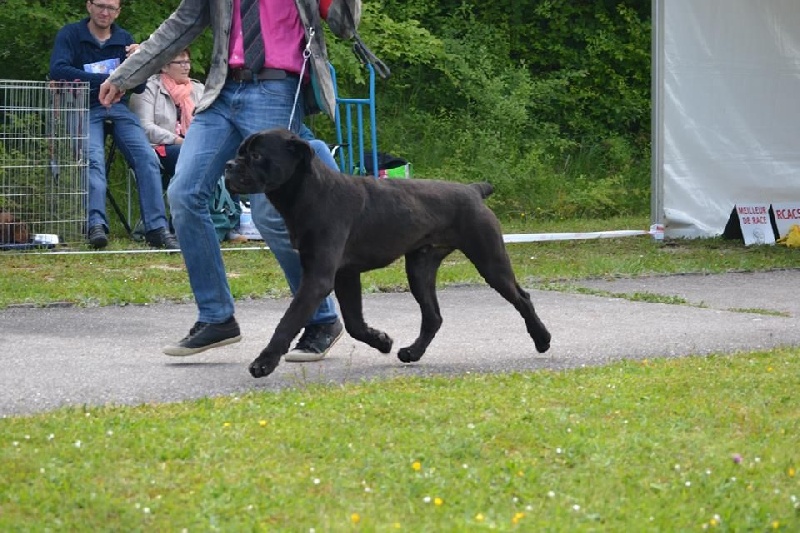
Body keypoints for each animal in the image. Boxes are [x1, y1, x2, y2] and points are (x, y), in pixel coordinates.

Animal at [225, 128, 552, 378]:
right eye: (240, 151)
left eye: (256, 155)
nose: (228, 164)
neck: (309, 192)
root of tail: (473, 190)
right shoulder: (345, 275)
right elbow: (355, 323)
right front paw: (382, 341)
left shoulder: (319, 278)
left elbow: (288, 321)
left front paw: (264, 362)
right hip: (420, 268)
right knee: (433, 316)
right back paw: (412, 352)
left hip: (490, 260)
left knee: (522, 298)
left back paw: (543, 340)